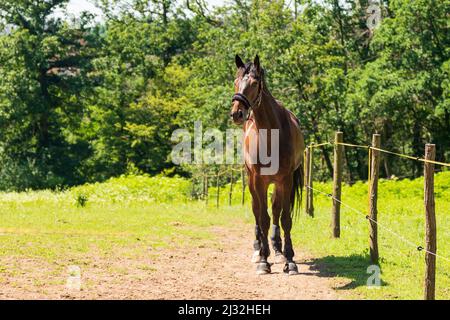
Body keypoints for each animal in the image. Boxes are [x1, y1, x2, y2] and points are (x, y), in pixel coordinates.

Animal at [230, 54, 304, 276]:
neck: (271, 136)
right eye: (236, 82)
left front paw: (290, 260)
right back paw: (259, 249)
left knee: (276, 210)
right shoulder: (258, 182)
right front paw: (263, 260)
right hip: (252, 183)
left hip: (278, 184)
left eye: (255, 84)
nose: (236, 113)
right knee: (257, 211)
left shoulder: (285, 180)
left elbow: (285, 218)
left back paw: (277, 251)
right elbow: (262, 218)